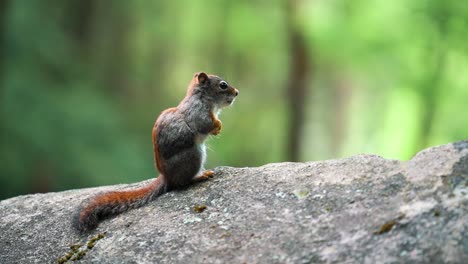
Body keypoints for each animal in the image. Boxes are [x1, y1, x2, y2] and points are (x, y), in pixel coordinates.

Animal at [75, 71, 241, 231]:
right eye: (223, 85)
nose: (237, 92)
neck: (203, 99)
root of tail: (166, 177)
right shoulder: (197, 113)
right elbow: (205, 124)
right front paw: (218, 125)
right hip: (193, 156)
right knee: (181, 183)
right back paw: (200, 176)